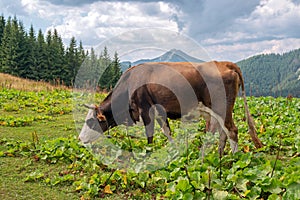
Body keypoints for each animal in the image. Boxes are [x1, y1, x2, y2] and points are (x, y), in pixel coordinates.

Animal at [78, 61, 262, 155]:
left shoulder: (146, 110)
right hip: (219, 111)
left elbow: (150, 135)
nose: (79, 139)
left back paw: (234, 159)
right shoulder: (159, 112)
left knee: (232, 130)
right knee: (223, 131)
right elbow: (167, 132)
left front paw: (149, 153)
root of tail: (226, 63)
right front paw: (175, 151)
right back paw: (219, 156)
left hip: (221, 108)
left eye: (91, 122)